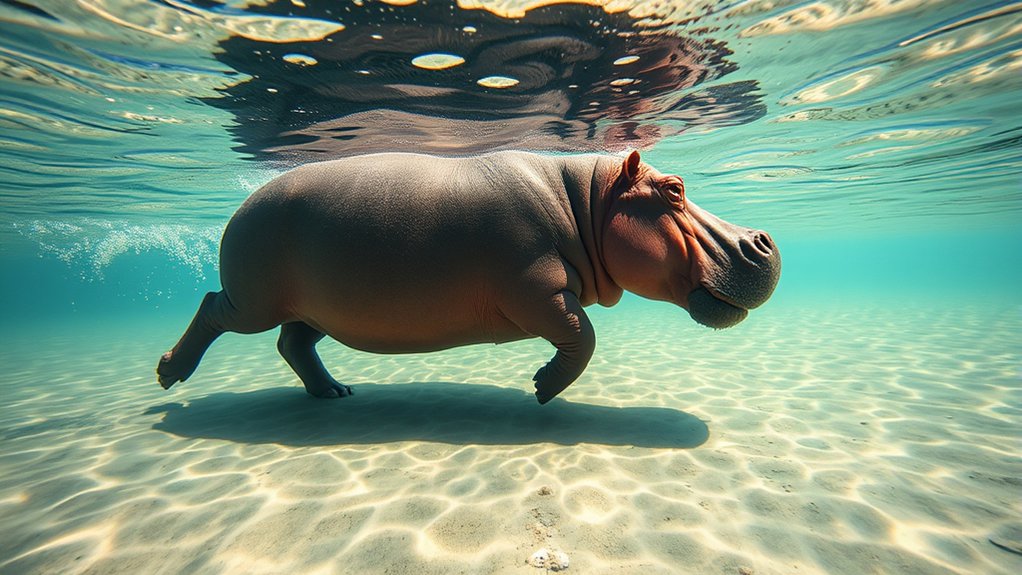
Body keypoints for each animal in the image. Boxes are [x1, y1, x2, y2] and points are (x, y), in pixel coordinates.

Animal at [157, 151, 780, 404]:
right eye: (674, 188)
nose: (764, 241)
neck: (585, 200)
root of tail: (241, 206)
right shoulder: (533, 287)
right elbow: (583, 335)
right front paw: (543, 388)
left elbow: (581, 334)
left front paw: (541, 385)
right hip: (254, 300)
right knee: (213, 307)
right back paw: (169, 374)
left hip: (317, 308)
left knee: (294, 343)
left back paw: (334, 392)